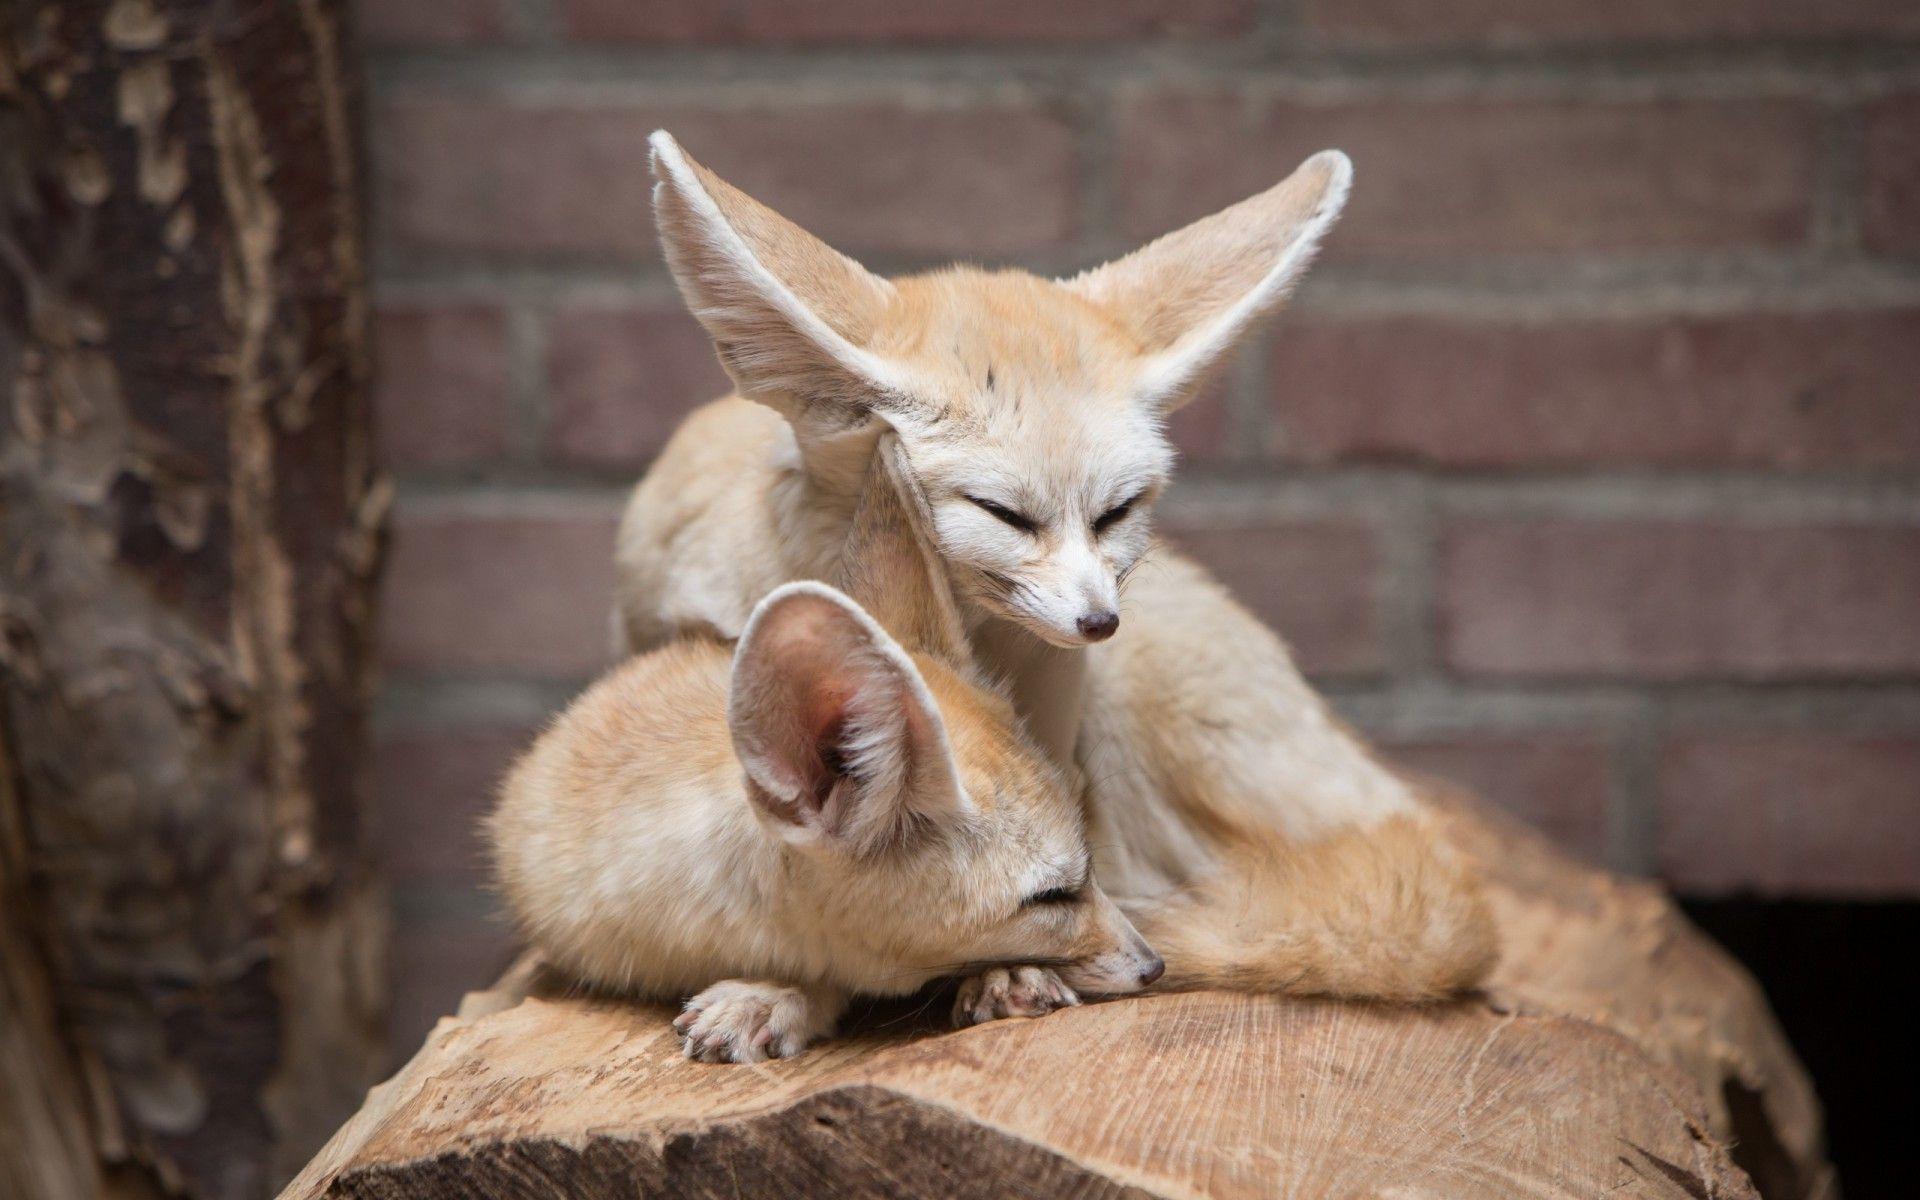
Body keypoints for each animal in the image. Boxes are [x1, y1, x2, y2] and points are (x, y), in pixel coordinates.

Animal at [612, 132, 1497, 1003]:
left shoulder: (1057, 729)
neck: (985, 645)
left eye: (1118, 513)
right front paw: (775, 991)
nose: (1099, 622)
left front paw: (1013, 961)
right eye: (1005, 514)